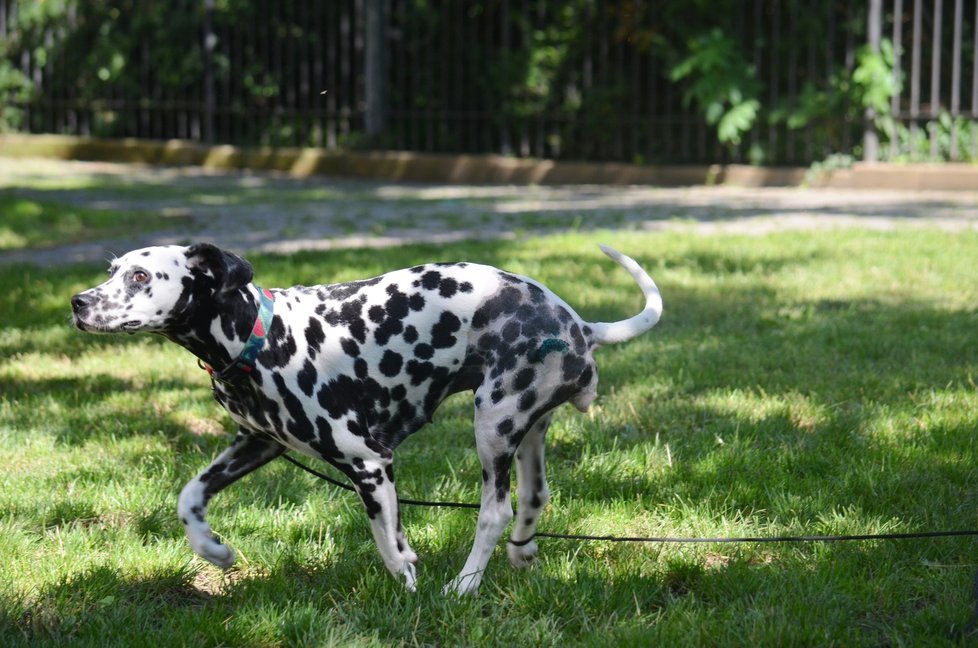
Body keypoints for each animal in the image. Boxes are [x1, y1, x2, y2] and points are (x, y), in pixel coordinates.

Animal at [70, 242, 664, 592]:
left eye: (140, 276)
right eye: (111, 271)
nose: (77, 302)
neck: (259, 336)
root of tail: (580, 324)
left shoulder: (369, 463)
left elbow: (387, 542)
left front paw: (408, 581)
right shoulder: (258, 443)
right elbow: (189, 496)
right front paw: (212, 550)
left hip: (492, 429)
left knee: (494, 512)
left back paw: (465, 585)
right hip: (526, 431)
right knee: (535, 499)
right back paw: (521, 555)